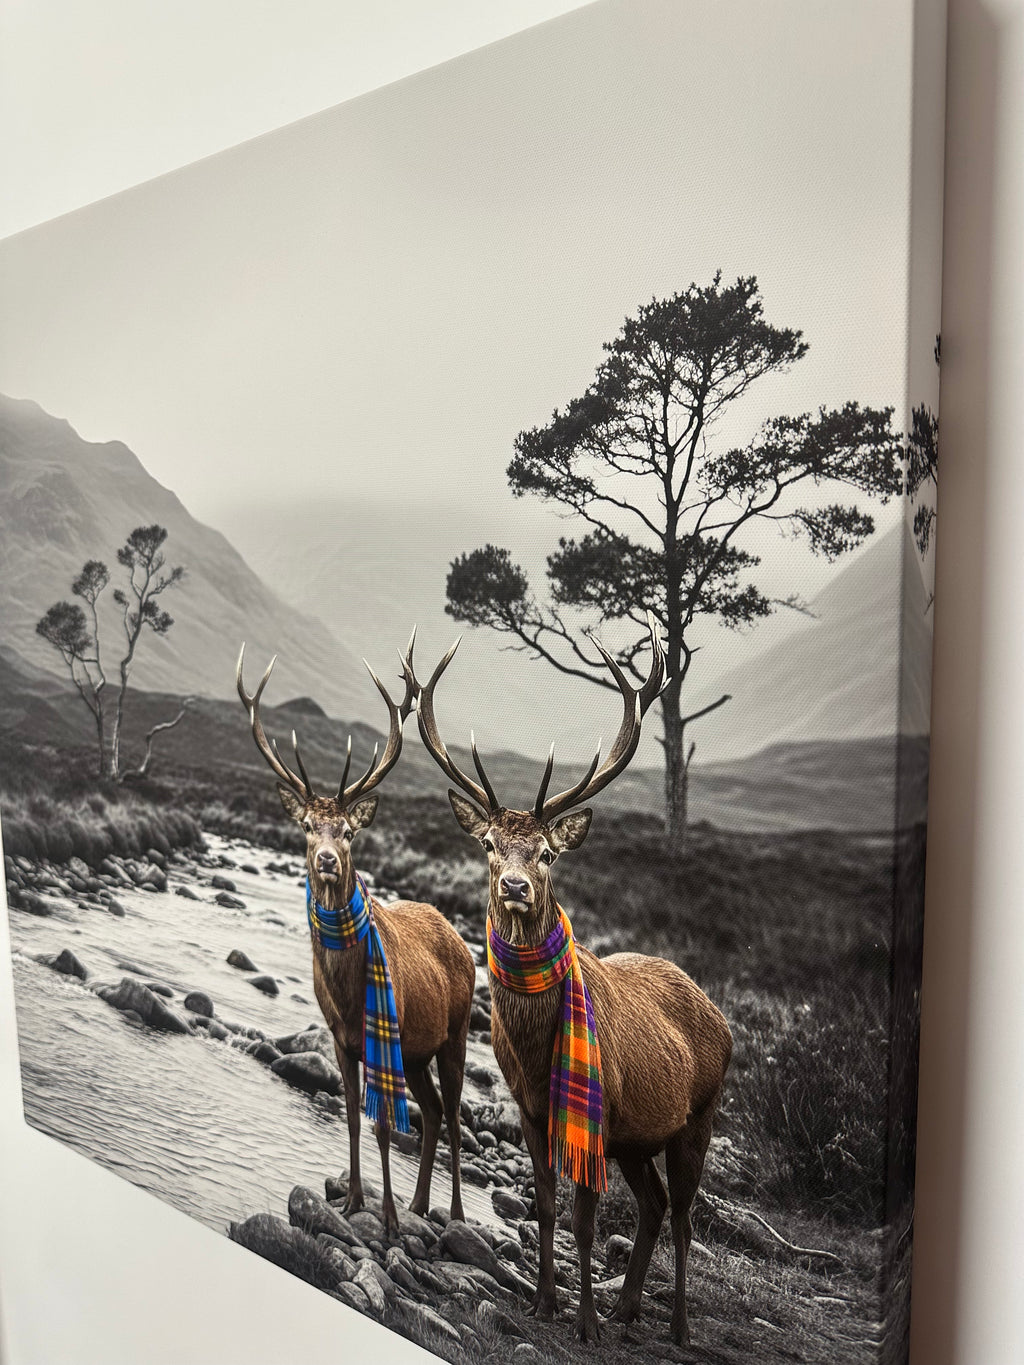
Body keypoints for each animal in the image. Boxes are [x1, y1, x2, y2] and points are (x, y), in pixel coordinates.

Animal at [236, 632, 476, 1240]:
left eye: (346, 831)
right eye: (306, 826)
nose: (325, 859)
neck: (345, 992)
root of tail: (464, 946)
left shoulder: (377, 1033)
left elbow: (384, 1126)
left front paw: (385, 1218)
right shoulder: (341, 1038)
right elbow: (349, 1115)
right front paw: (352, 1199)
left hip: (455, 1033)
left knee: (452, 1114)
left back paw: (453, 1214)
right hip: (413, 1050)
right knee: (431, 1111)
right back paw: (420, 1203)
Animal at [411, 614, 732, 1347]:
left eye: (547, 853)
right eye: (489, 845)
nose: (515, 885)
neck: (532, 1050)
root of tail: (723, 1017)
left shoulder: (595, 1111)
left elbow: (586, 1222)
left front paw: (581, 1319)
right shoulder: (531, 1108)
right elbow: (548, 1206)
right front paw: (545, 1302)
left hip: (697, 1114)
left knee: (684, 1215)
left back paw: (675, 1325)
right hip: (639, 1136)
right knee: (653, 1204)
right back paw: (627, 1306)